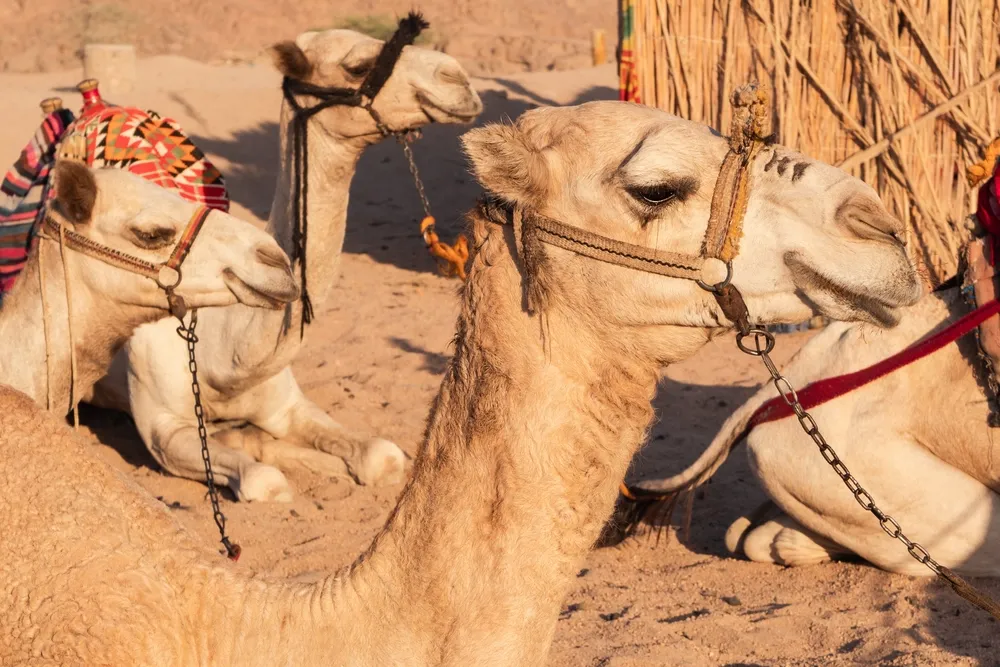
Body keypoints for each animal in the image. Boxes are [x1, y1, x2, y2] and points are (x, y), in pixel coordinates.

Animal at [87, 28, 484, 502]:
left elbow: (382, 457)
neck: (223, 353)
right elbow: (265, 480)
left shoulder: (285, 403)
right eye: (357, 66)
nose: (459, 79)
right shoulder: (164, 430)